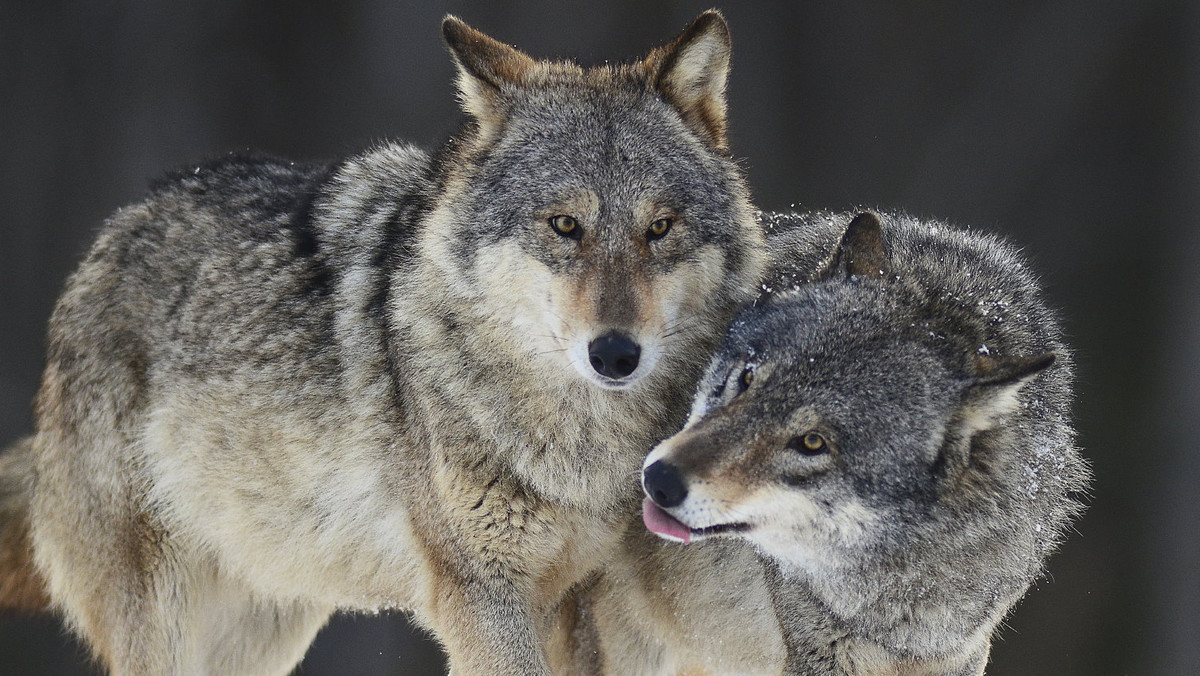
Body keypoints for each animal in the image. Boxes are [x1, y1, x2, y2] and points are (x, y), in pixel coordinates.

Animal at [0, 11, 763, 676]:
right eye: (564, 225)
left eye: (659, 228)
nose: (615, 354)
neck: (575, 440)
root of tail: (113, 234)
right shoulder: (480, 595)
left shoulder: (576, 604)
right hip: (165, 622)